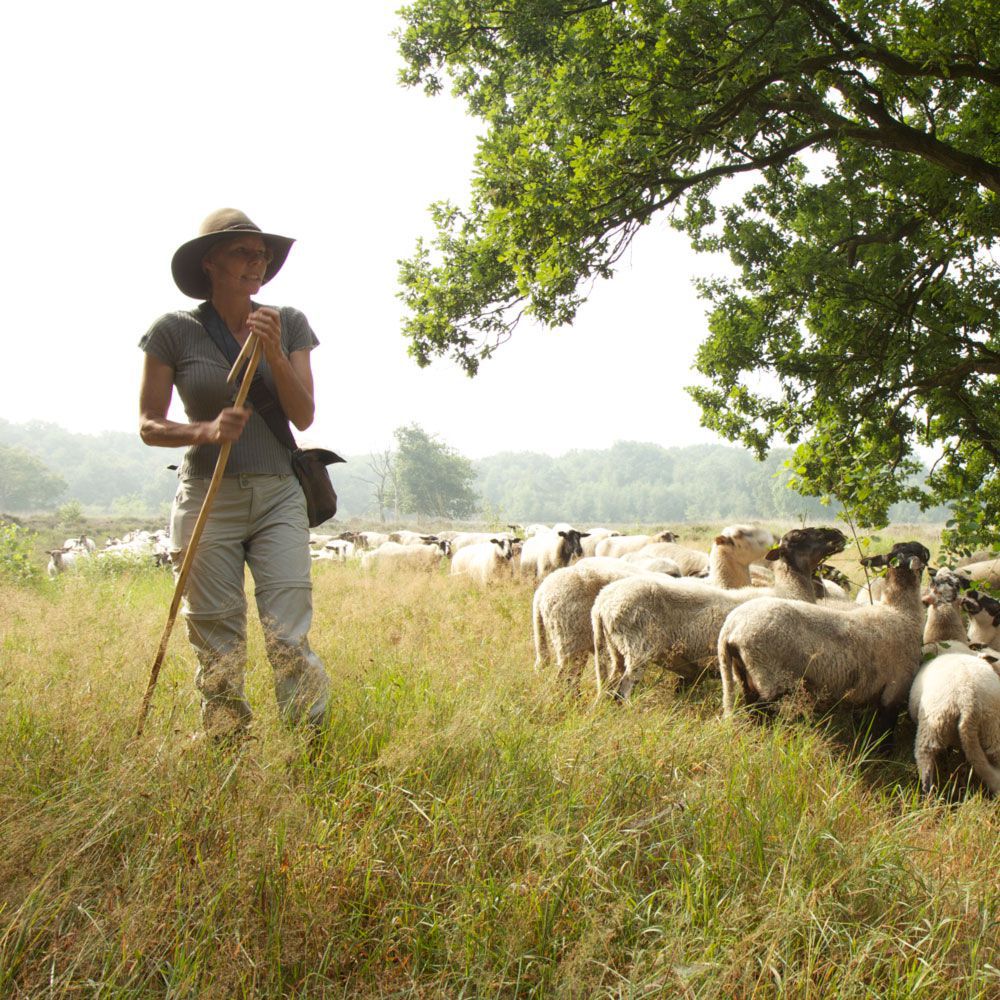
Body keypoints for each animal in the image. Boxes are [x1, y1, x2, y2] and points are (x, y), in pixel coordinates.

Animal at [592, 528, 844, 700]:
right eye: (800, 535)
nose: (838, 533)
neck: (789, 590)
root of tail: (602, 602)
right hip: (637, 650)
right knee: (621, 693)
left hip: (617, 651)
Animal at [716, 540, 924, 744]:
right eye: (921, 550)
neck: (900, 610)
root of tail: (730, 627)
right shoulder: (894, 690)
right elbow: (885, 734)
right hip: (770, 676)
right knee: (764, 713)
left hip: (744, 675)